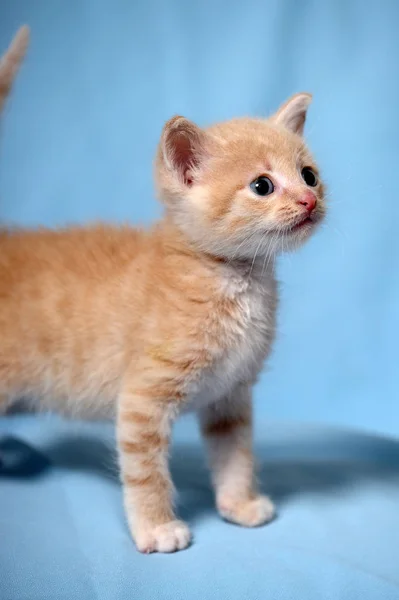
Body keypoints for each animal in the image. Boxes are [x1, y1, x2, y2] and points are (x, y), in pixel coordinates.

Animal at [0, 85, 324, 552]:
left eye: (309, 175)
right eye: (262, 186)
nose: (310, 199)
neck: (235, 282)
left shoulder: (231, 395)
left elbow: (236, 455)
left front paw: (239, 504)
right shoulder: (142, 399)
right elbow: (145, 472)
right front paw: (156, 526)